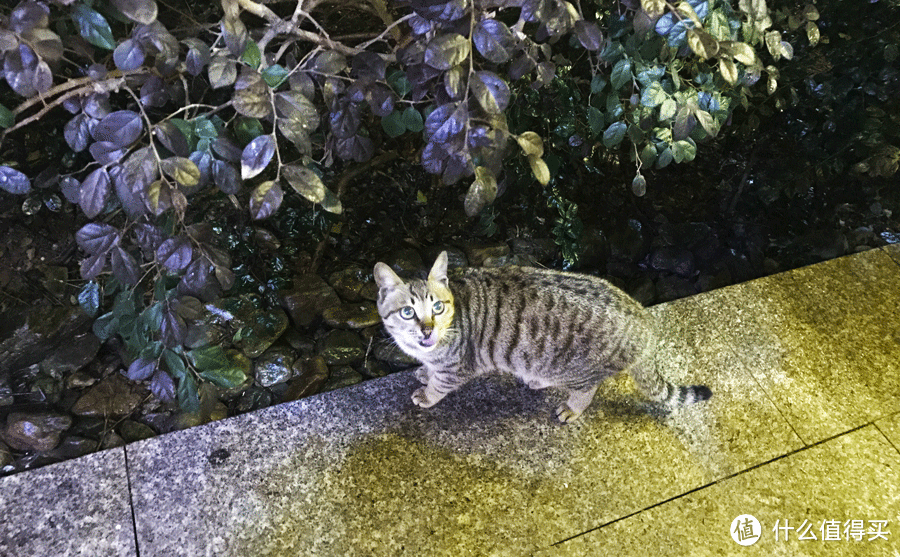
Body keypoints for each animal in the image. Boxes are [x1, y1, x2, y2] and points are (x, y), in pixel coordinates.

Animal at [372, 252, 712, 422]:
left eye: (438, 307)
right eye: (408, 312)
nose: (427, 329)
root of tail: (643, 319)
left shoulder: (456, 369)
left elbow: (439, 384)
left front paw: (427, 394)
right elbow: (429, 369)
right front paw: (423, 371)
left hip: (575, 370)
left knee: (588, 388)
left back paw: (573, 407)